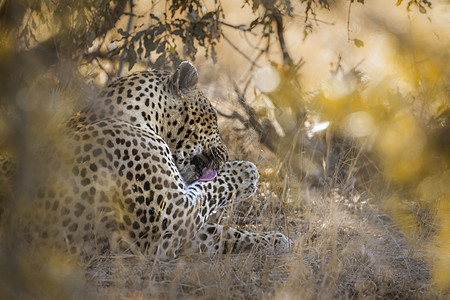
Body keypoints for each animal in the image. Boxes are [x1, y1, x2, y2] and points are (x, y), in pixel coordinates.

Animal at [4, 61, 288, 260]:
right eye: (215, 118)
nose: (227, 154)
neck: (141, 116)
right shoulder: (170, 220)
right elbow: (212, 188)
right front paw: (245, 172)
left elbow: (220, 232)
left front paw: (274, 240)